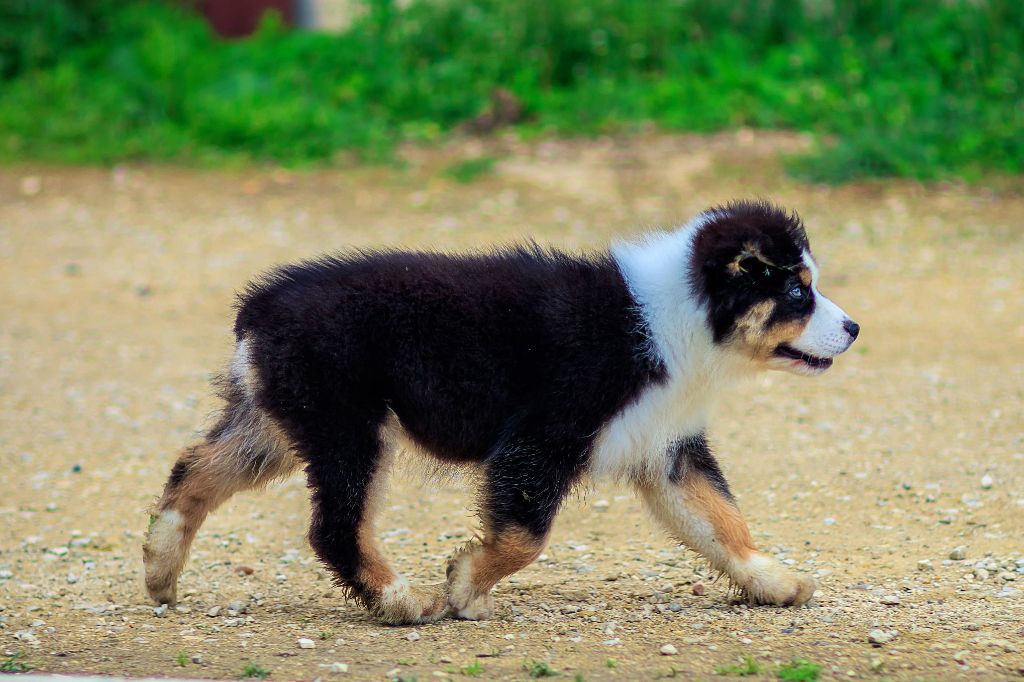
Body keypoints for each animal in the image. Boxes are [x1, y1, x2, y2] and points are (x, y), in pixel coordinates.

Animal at [142, 197, 856, 622]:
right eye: (798, 293)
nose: (853, 329)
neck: (675, 316)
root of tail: (259, 307)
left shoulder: (666, 450)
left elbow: (721, 521)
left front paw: (771, 581)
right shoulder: (542, 438)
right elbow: (525, 537)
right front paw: (464, 584)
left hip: (282, 422)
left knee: (193, 471)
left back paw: (159, 568)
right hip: (349, 427)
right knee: (335, 527)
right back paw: (403, 599)